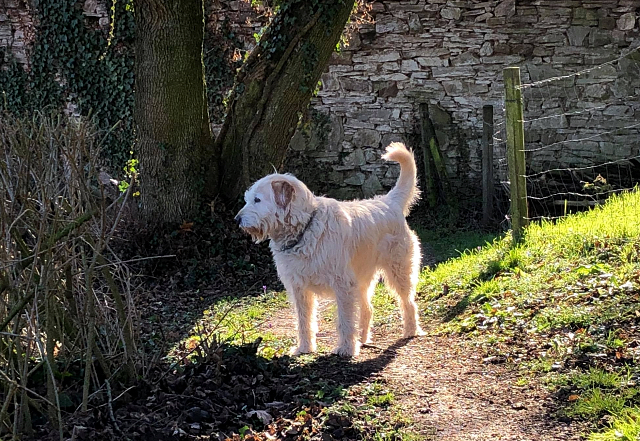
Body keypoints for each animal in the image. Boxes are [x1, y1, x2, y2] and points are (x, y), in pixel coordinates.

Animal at [235, 143, 424, 356]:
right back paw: (362, 339)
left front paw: (346, 348)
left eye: (257, 200)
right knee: (367, 309)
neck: (305, 229)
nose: (237, 220)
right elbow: (304, 321)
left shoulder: (343, 285)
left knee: (408, 302)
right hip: (363, 279)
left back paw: (410, 330)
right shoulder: (299, 289)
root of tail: (388, 201)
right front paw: (304, 347)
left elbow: (345, 320)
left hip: (399, 271)